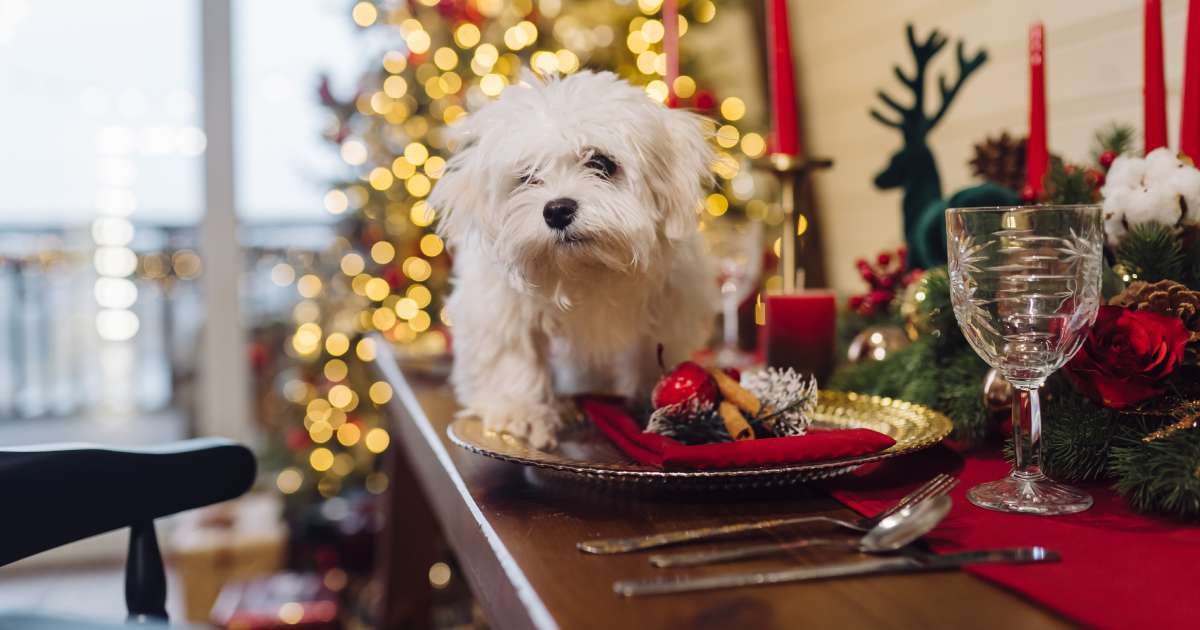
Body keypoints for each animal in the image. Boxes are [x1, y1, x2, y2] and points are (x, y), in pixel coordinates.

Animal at [429, 71, 710, 446]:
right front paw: (518, 411)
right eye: (527, 176)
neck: (585, 267)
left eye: (601, 163)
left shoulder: (668, 305)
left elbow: (651, 353)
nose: (558, 210)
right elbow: (511, 355)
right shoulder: (498, 306)